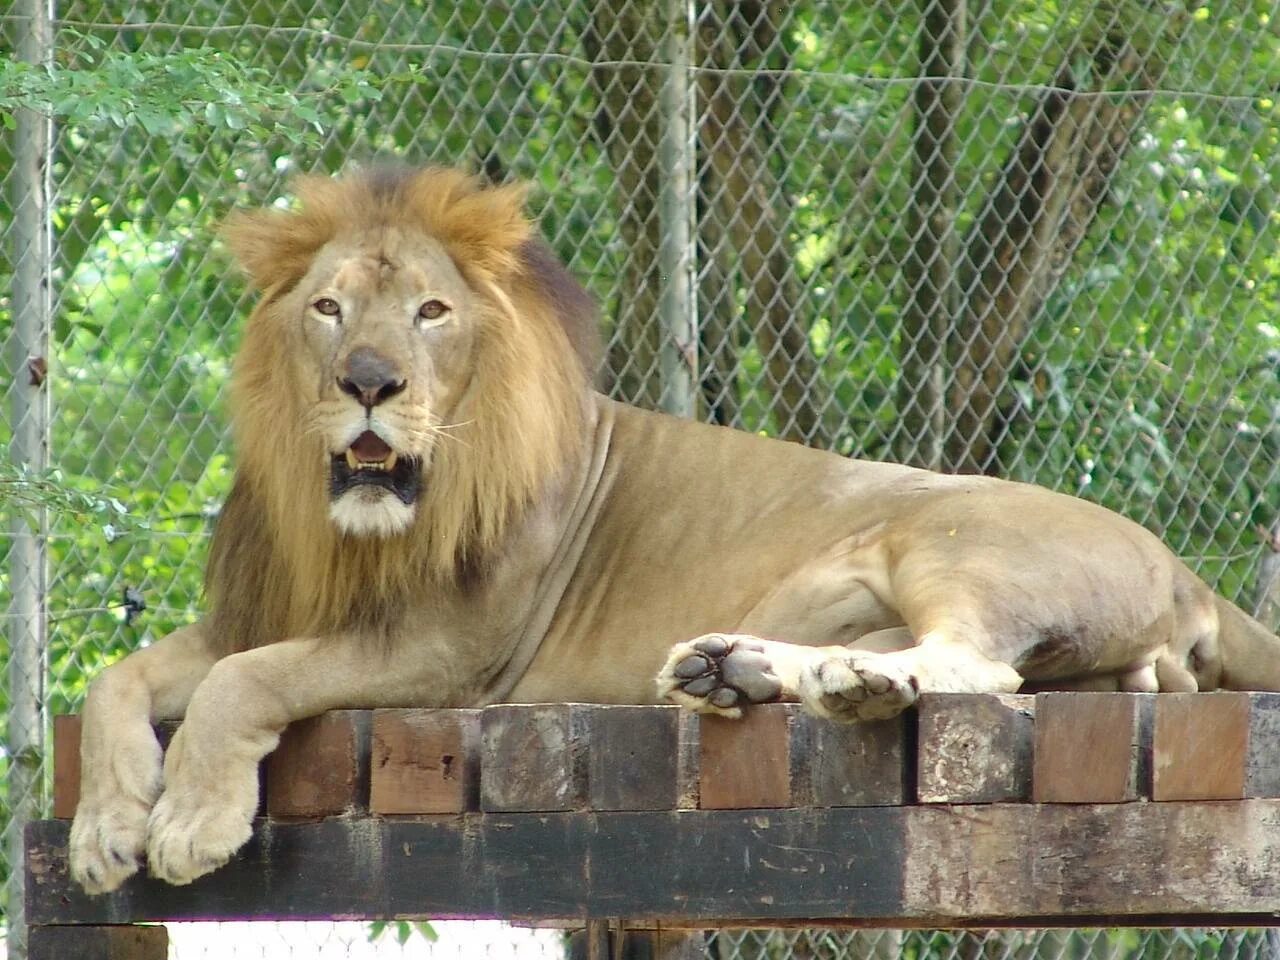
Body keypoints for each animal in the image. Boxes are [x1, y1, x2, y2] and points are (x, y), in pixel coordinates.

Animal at [67, 163, 1280, 896]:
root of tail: (1186, 570)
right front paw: (103, 827)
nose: (369, 381)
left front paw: (188, 822)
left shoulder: (452, 653)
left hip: (943, 538)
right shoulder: (268, 607)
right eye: (327, 308)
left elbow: (247, 683)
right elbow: (117, 678)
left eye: (430, 312)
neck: (354, 525)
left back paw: (848, 687)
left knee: (981, 667)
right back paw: (734, 669)